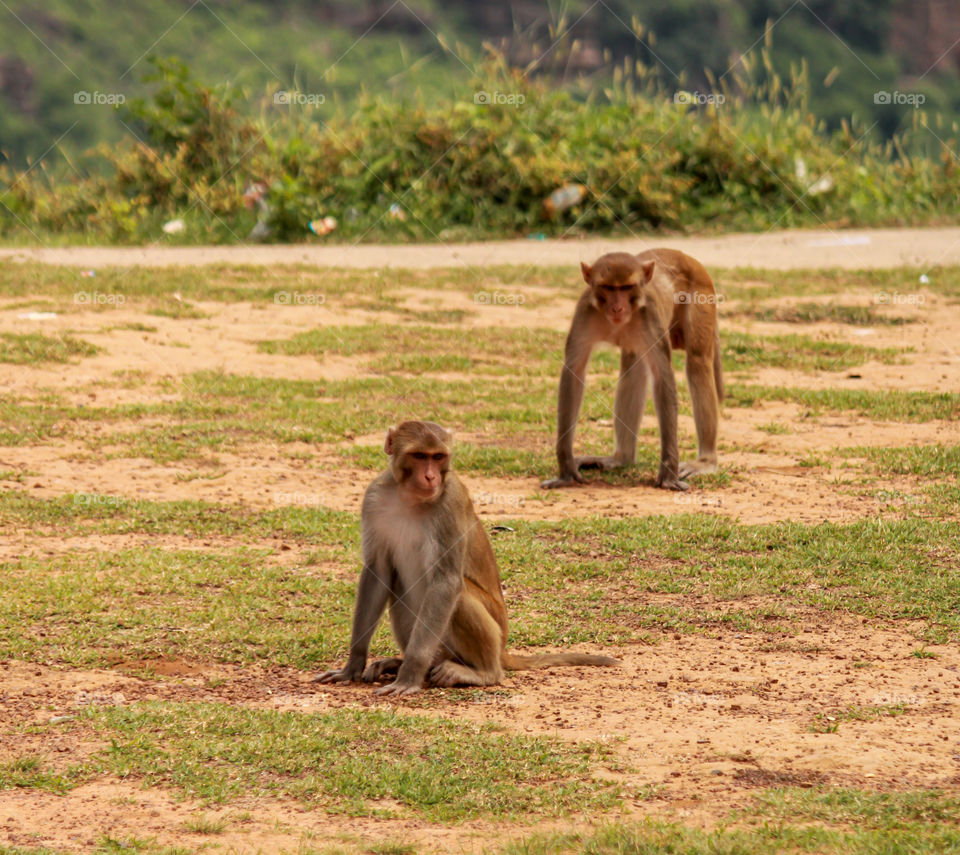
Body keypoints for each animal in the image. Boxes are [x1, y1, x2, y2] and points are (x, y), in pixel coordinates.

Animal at [316, 422, 616, 696]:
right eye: (419, 456)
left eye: (438, 457)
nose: (430, 478)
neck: (410, 498)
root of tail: (502, 651)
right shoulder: (374, 497)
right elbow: (377, 573)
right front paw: (352, 665)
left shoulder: (451, 501)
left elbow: (446, 582)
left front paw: (410, 675)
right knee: (399, 586)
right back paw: (399, 663)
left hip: (488, 634)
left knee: (458, 594)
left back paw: (482, 673)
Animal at [544, 247, 724, 492]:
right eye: (608, 287)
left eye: (627, 287)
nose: (617, 307)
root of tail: (684, 256)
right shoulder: (584, 311)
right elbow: (574, 371)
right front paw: (566, 470)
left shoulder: (650, 316)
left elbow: (662, 376)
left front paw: (668, 473)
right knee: (633, 367)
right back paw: (622, 459)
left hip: (702, 295)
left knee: (698, 362)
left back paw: (705, 461)